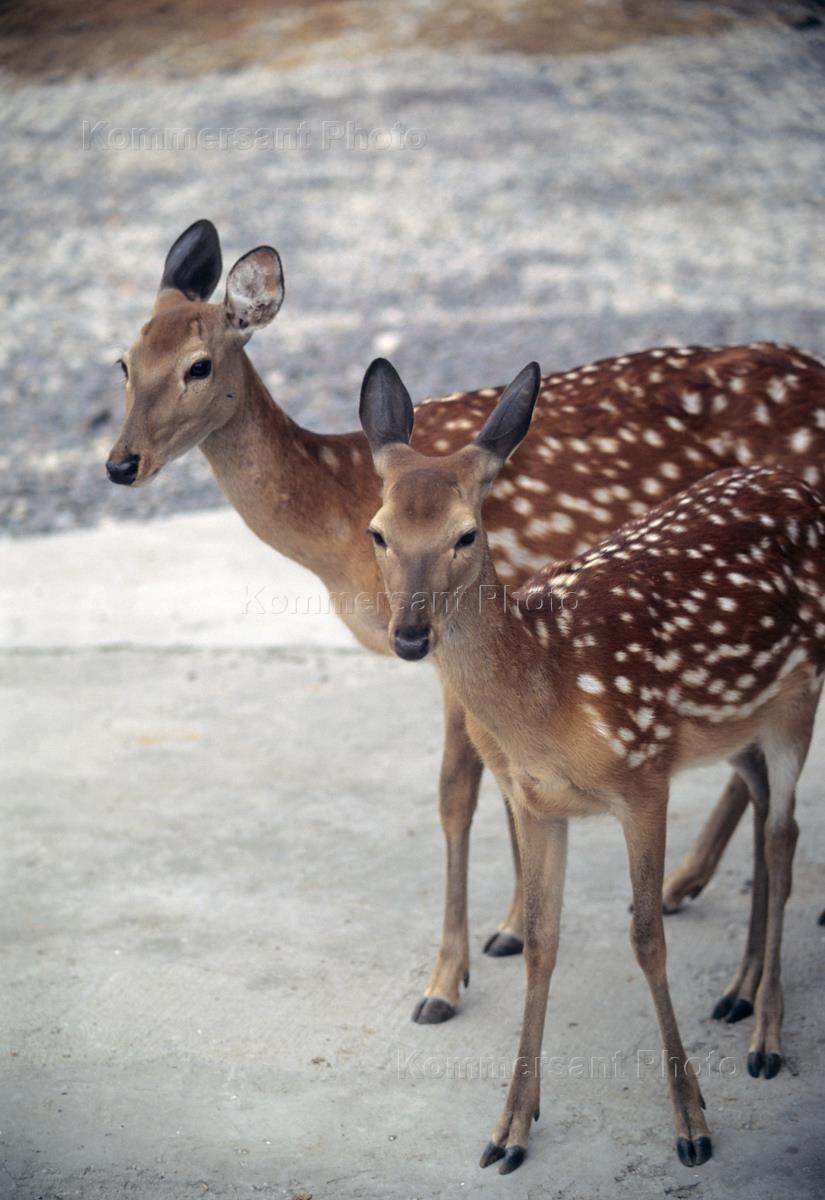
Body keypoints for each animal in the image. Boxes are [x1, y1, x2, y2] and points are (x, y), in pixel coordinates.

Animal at [106, 219, 825, 1024]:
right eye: (124, 361)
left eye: (198, 366)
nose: (120, 464)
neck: (337, 519)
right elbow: (501, 791)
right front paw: (510, 928)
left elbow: (456, 793)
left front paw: (445, 979)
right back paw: (688, 890)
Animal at [359, 356, 824, 1173]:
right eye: (377, 531)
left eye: (466, 533)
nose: (410, 635)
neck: (550, 687)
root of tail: (796, 485)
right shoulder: (537, 801)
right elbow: (541, 942)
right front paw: (510, 1129)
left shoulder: (643, 776)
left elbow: (646, 937)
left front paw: (691, 1125)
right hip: (736, 726)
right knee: (767, 809)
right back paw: (737, 994)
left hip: (798, 699)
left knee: (784, 838)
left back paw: (767, 1035)